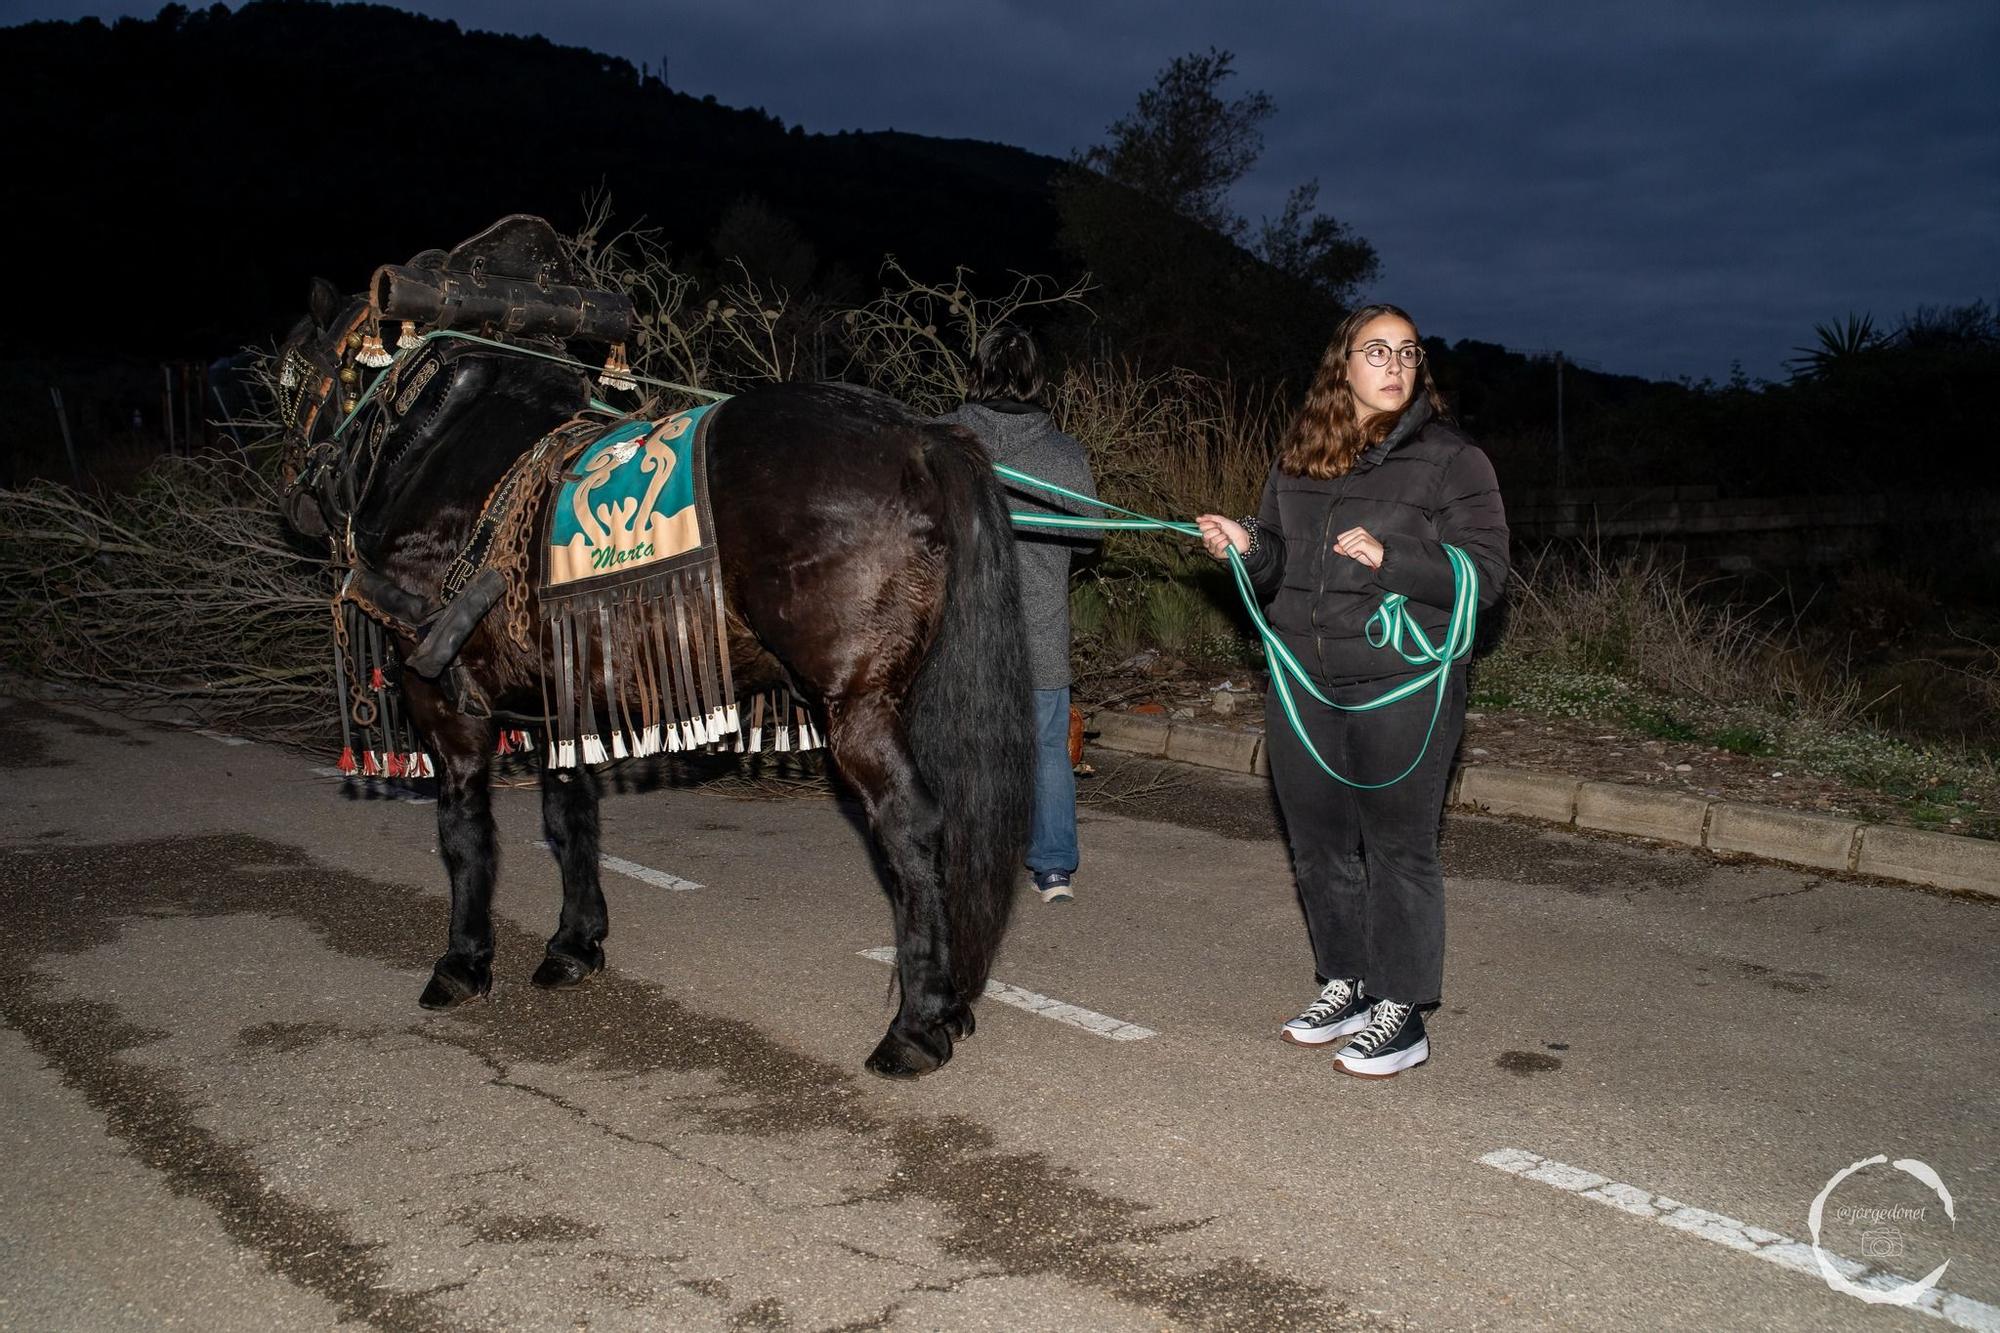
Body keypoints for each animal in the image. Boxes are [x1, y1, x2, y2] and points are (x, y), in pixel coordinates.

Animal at [278, 274, 1032, 1072]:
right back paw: (947, 1004)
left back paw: (916, 1024)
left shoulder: (447, 709)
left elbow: (464, 835)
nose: (292, 495)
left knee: (911, 824)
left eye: (294, 373)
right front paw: (574, 943)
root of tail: (918, 436)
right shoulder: (563, 705)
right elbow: (569, 818)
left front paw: (463, 961)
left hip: (856, 705)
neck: (447, 456)